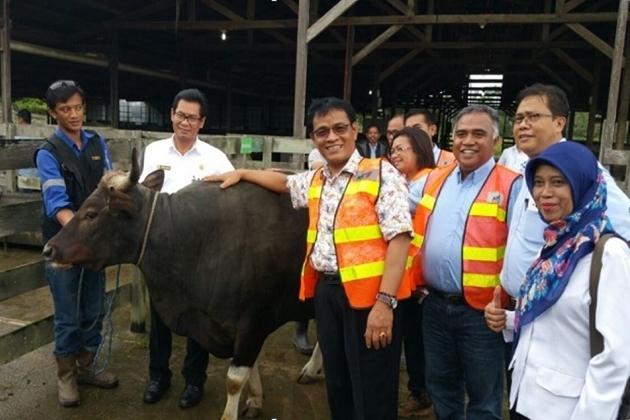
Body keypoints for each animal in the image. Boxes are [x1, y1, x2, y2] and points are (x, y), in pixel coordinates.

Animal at [42, 151, 324, 420]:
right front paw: (255, 400)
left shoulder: (253, 322)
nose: (48, 249)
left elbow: (235, 379)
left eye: (91, 213)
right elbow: (249, 367)